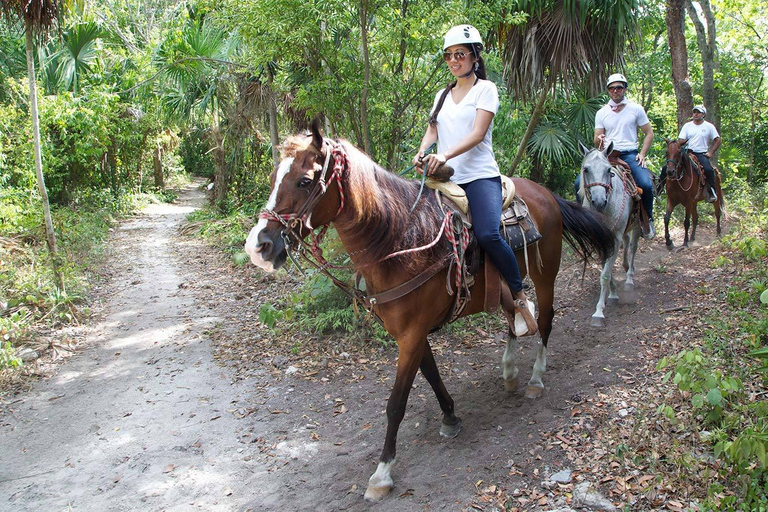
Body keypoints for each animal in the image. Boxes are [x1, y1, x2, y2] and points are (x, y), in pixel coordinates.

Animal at [243, 122, 616, 502]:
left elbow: (396, 404)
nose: (259, 246)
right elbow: (432, 375)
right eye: (274, 177)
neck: (400, 241)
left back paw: (535, 379)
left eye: (305, 181)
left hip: (545, 273)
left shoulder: (411, 335)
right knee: (513, 316)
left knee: (545, 320)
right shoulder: (409, 333)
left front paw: (382, 473)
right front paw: (450, 417)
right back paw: (510, 371)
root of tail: (545, 193)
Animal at [580, 140, 640, 326]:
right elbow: (606, 268)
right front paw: (613, 294)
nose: (599, 201)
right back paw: (625, 267)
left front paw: (599, 312)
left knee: (633, 247)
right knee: (626, 243)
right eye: (586, 169)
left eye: (608, 171)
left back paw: (629, 278)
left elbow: (605, 274)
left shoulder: (614, 238)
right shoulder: (599, 239)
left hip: (637, 225)